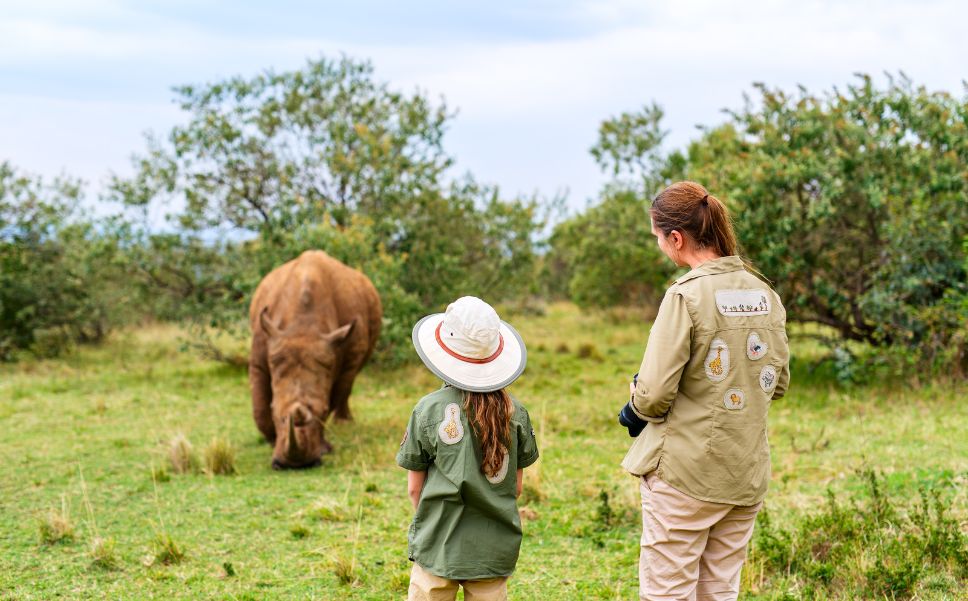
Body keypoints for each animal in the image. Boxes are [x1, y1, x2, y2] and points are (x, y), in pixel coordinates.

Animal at [248, 250, 382, 469]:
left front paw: (324, 448)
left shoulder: (345, 355)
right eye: (275, 411)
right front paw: (271, 440)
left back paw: (344, 424)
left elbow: (337, 393)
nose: (295, 465)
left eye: (323, 411)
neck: (304, 328)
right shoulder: (262, 350)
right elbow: (259, 405)